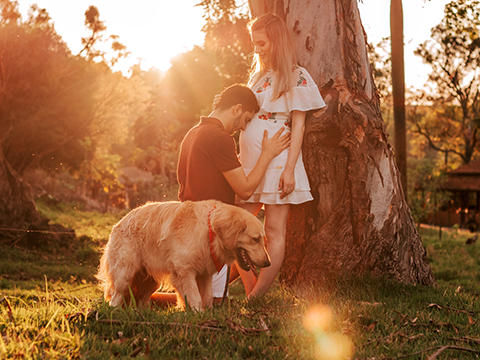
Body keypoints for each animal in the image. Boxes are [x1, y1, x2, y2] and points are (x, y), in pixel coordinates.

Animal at [95, 200, 272, 310]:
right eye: (255, 239)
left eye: (262, 239)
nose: (268, 263)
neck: (209, 231)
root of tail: (118, 224)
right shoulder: (184, 272)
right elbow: (195, 297)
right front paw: (197, 314)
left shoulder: (204, 274)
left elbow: (207, 297)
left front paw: (206, 313)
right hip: (125, 273)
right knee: (116, 296)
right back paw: (115, 312)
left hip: (151, 280)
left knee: (142, 299)